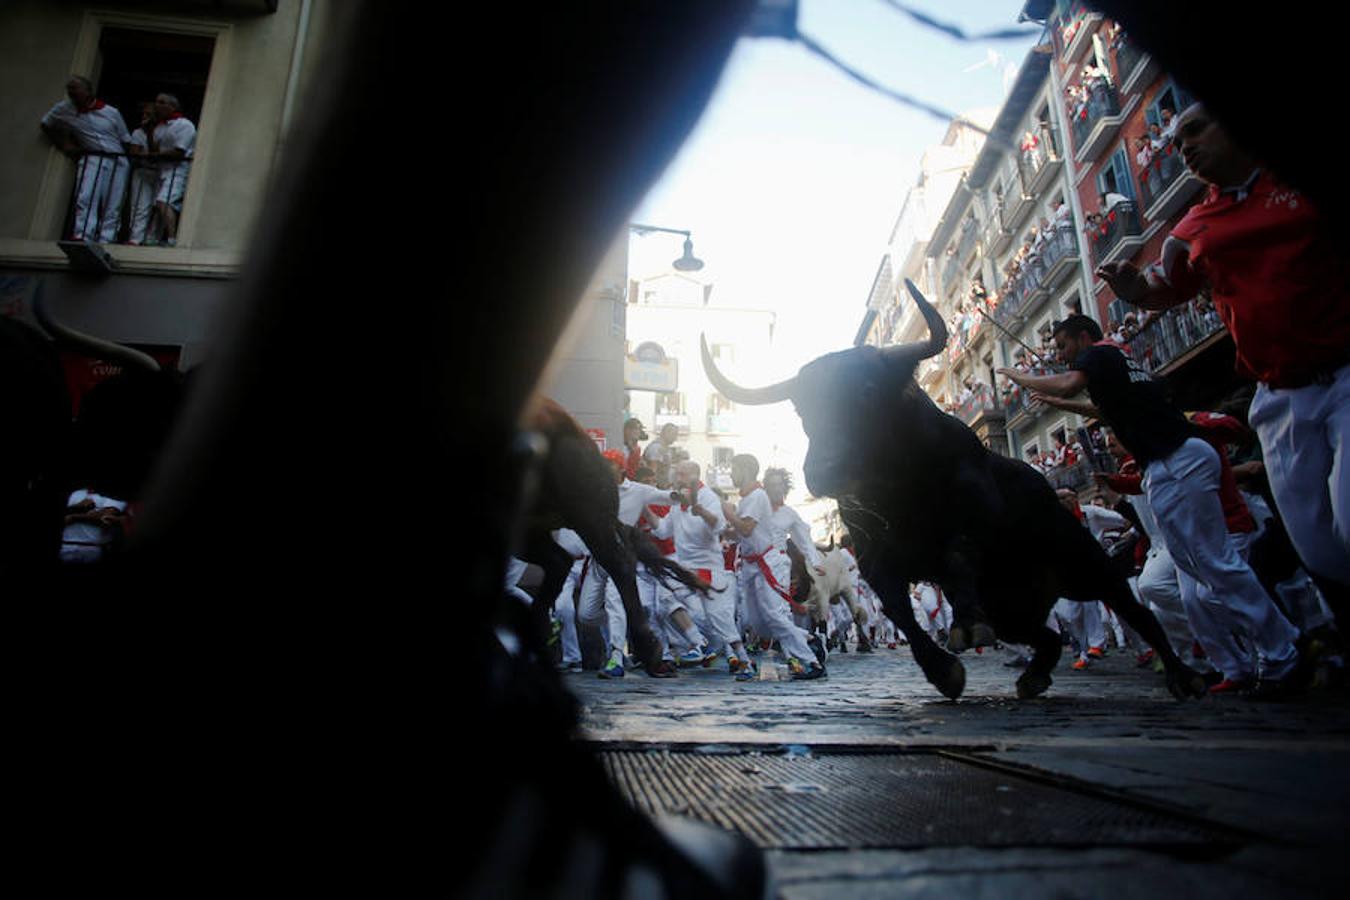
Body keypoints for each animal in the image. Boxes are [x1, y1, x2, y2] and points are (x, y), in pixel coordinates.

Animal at [702, 282, 1209, 701]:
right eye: (802, 408)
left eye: (865, 391)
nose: (824, 471)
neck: (896, 486)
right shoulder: (875, 557)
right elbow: (899, 610)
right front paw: (943, 671)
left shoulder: (971, 522)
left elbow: (956, 555)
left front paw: (963, 630)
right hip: (1011, 606)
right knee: (1045, 635)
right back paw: (1033, 676)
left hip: (1084, 563)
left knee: (1132, 607)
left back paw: (1181, 674)